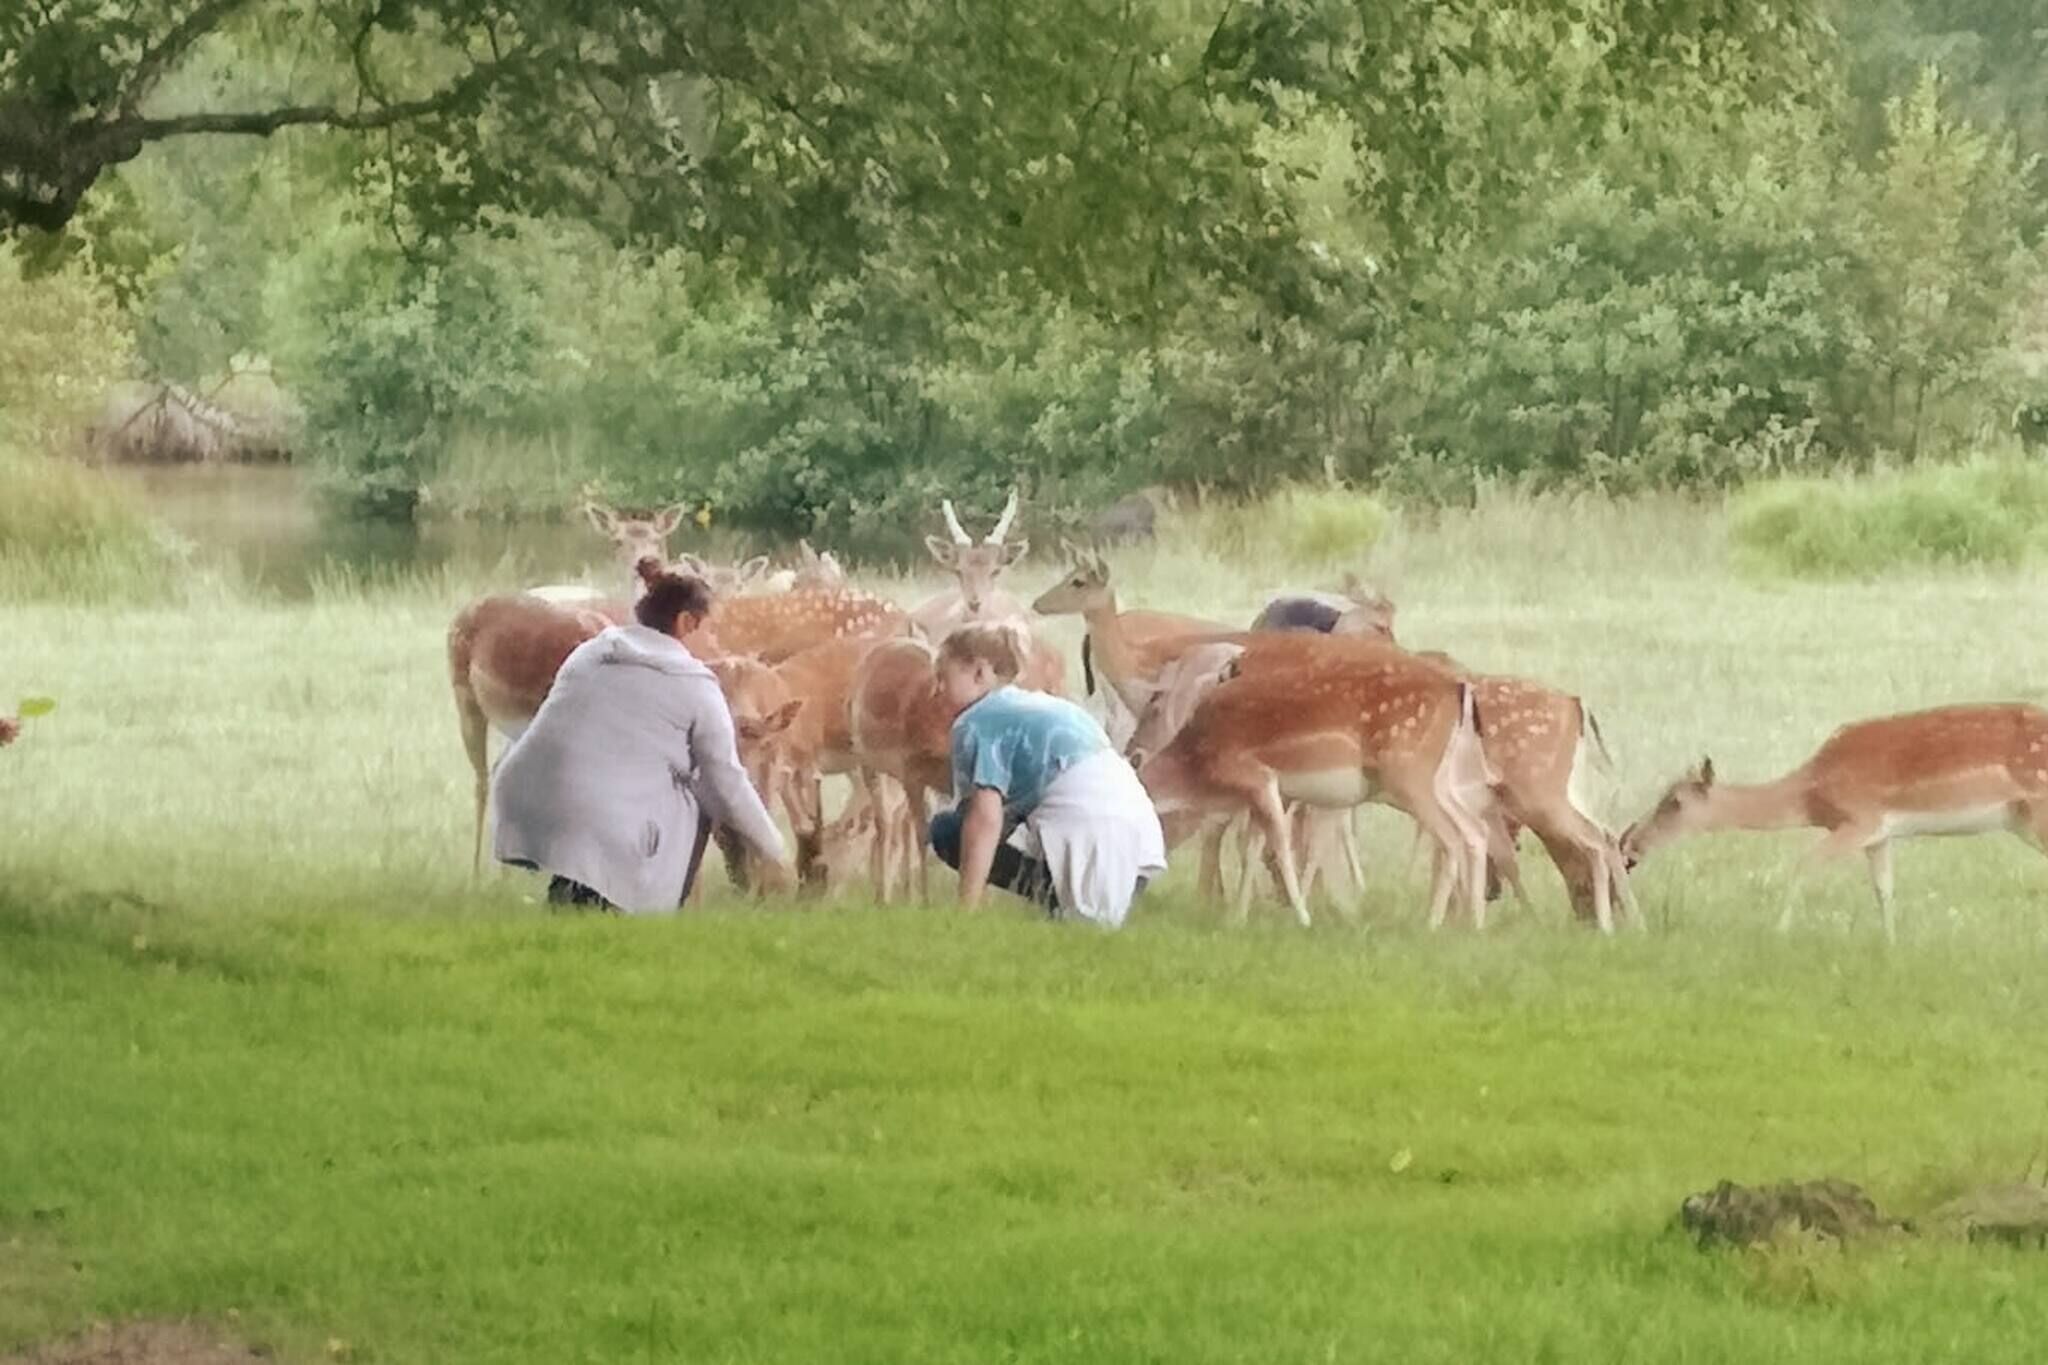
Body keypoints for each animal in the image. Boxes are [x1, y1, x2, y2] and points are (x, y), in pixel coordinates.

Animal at [1136, 635, 1499, 928]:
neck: (1197, 764)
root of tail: (1459, 688)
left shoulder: (1257, 777)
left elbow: (1280, 847)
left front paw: (1302, 918)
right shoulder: (1268, 793)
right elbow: (1253, 847)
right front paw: (1237, 919)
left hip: (1408, 771)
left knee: (1451, 837)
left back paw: (1433, 923)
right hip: (1441, 779)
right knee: (1475, 831)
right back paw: (1475, 923)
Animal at [1620, 702, 2048, 943]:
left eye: (1674, 803)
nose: (1629, 845)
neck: (1812, 795)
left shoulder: (1859, 818)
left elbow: (1802, 864)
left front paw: (1777, 932)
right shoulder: (1879, 833)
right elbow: (1884, 890)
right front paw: (1891, 947)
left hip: (2037, 811)